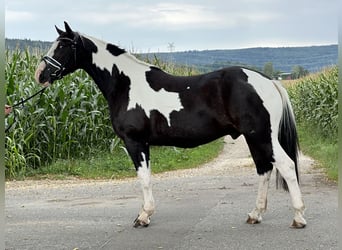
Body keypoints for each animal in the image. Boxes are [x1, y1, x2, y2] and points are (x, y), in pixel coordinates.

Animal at [36, 22, 306, 229]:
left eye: (63, 46)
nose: (40, 74)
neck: (125, 84)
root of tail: (269, 81)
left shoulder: (135, 141)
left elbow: (144, 179)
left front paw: (143, 217)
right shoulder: (143, 143)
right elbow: (147, 177)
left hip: (261, 135)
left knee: (285, 165)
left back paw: (298, 217)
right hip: (254, 137)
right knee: (264, 169)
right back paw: (255, 214)